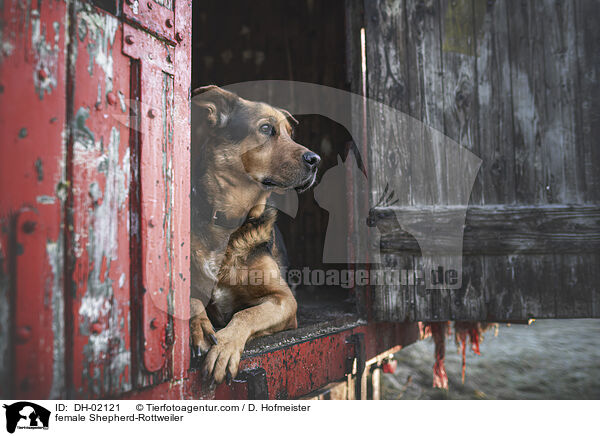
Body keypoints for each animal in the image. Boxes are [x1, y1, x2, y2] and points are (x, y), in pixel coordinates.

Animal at [190, 86, 322, 384]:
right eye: (266, 128)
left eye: (289, 133)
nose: (316, 160)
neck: (230, 224)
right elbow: (192, 300)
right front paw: (201, 327)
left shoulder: (284, 300)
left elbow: (247, 314)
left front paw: (225, 347)